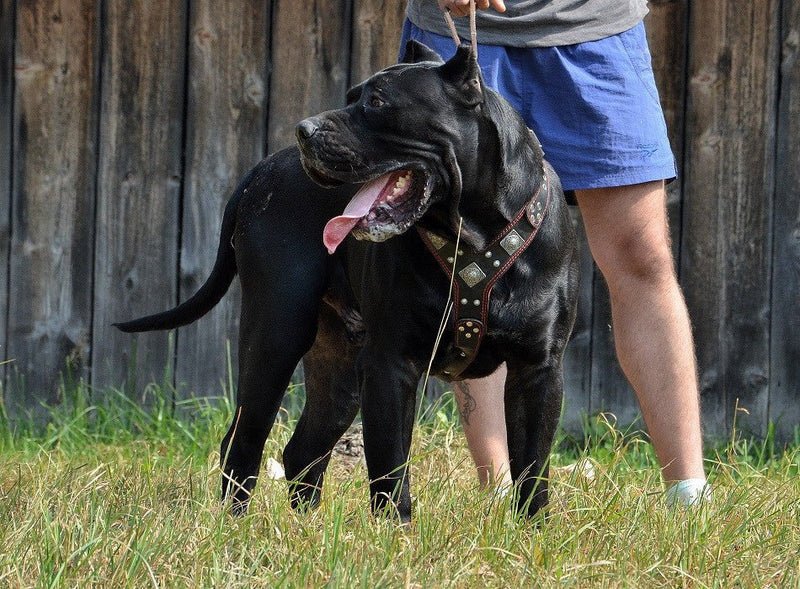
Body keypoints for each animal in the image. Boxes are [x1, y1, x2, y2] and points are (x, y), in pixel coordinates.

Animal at [117, 41, 576, 520]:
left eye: (376, 102)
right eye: (354, 96)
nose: (304, 129)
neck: (474, 237)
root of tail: (259, 171)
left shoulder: (537, 370)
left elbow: (533, 466)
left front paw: (531, 530)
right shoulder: (390, 364)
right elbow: (391, 468)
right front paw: (397, 534)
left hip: (339, 367)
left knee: (303, 449)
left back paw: (305, 528)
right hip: (275, 336)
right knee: (243, 440)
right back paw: (234, 524)